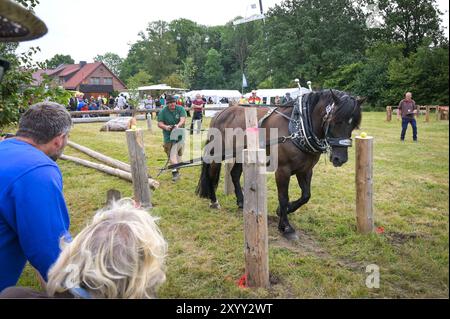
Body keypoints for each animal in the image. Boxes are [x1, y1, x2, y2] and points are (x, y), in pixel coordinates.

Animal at [195, 90, 364, 240]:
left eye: (353, 125)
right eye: (335, 121)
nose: (340, 159)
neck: (298, 129)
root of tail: (220, 113)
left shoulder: (306, 170)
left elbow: (306, 195)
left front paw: (285, 210)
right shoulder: (283, 170)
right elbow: (283, 196)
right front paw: (286, 227)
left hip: (241, 155)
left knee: (234, 174)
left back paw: (241, 201)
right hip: (218, 153)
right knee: (212, 175)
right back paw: (214, 201)